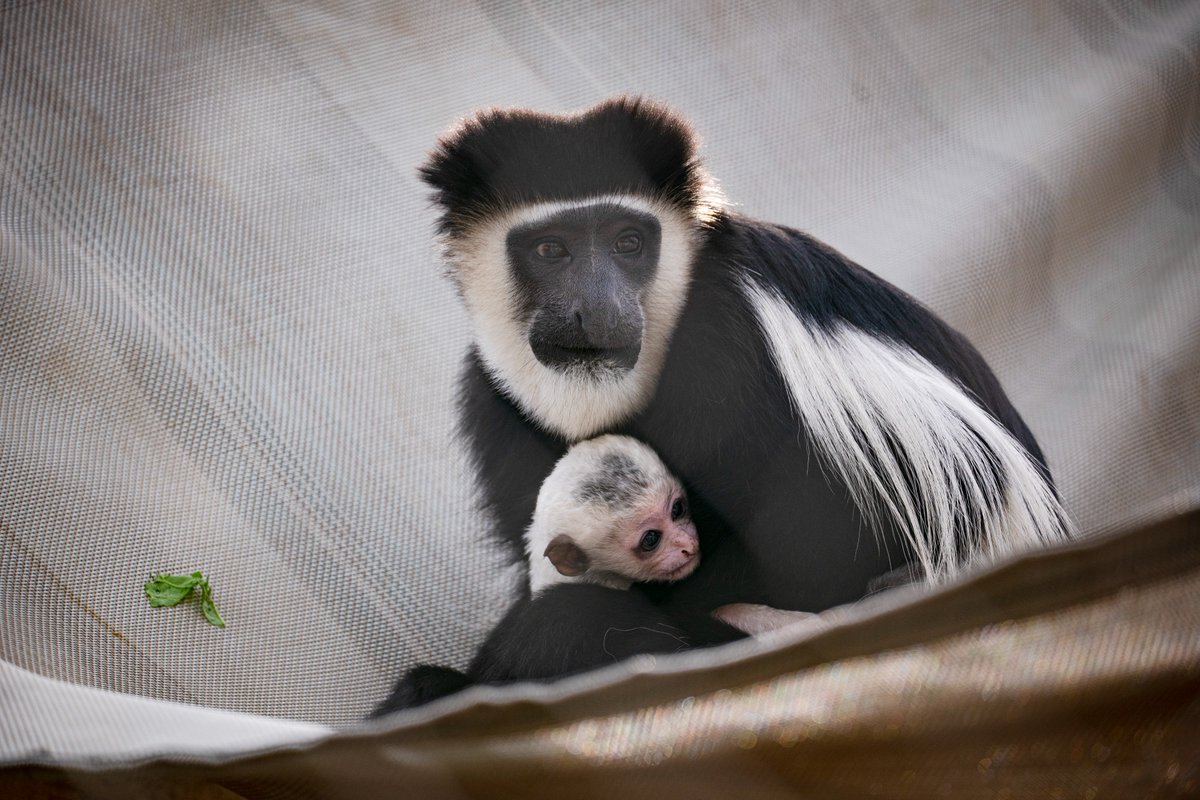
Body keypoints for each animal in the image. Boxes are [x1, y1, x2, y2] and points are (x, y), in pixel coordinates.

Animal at [374, 97, 1072, 713]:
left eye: (629, 242)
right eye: (550, 250)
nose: (596, 308)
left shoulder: (727, 338)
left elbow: (821, 535)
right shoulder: (492, 400)